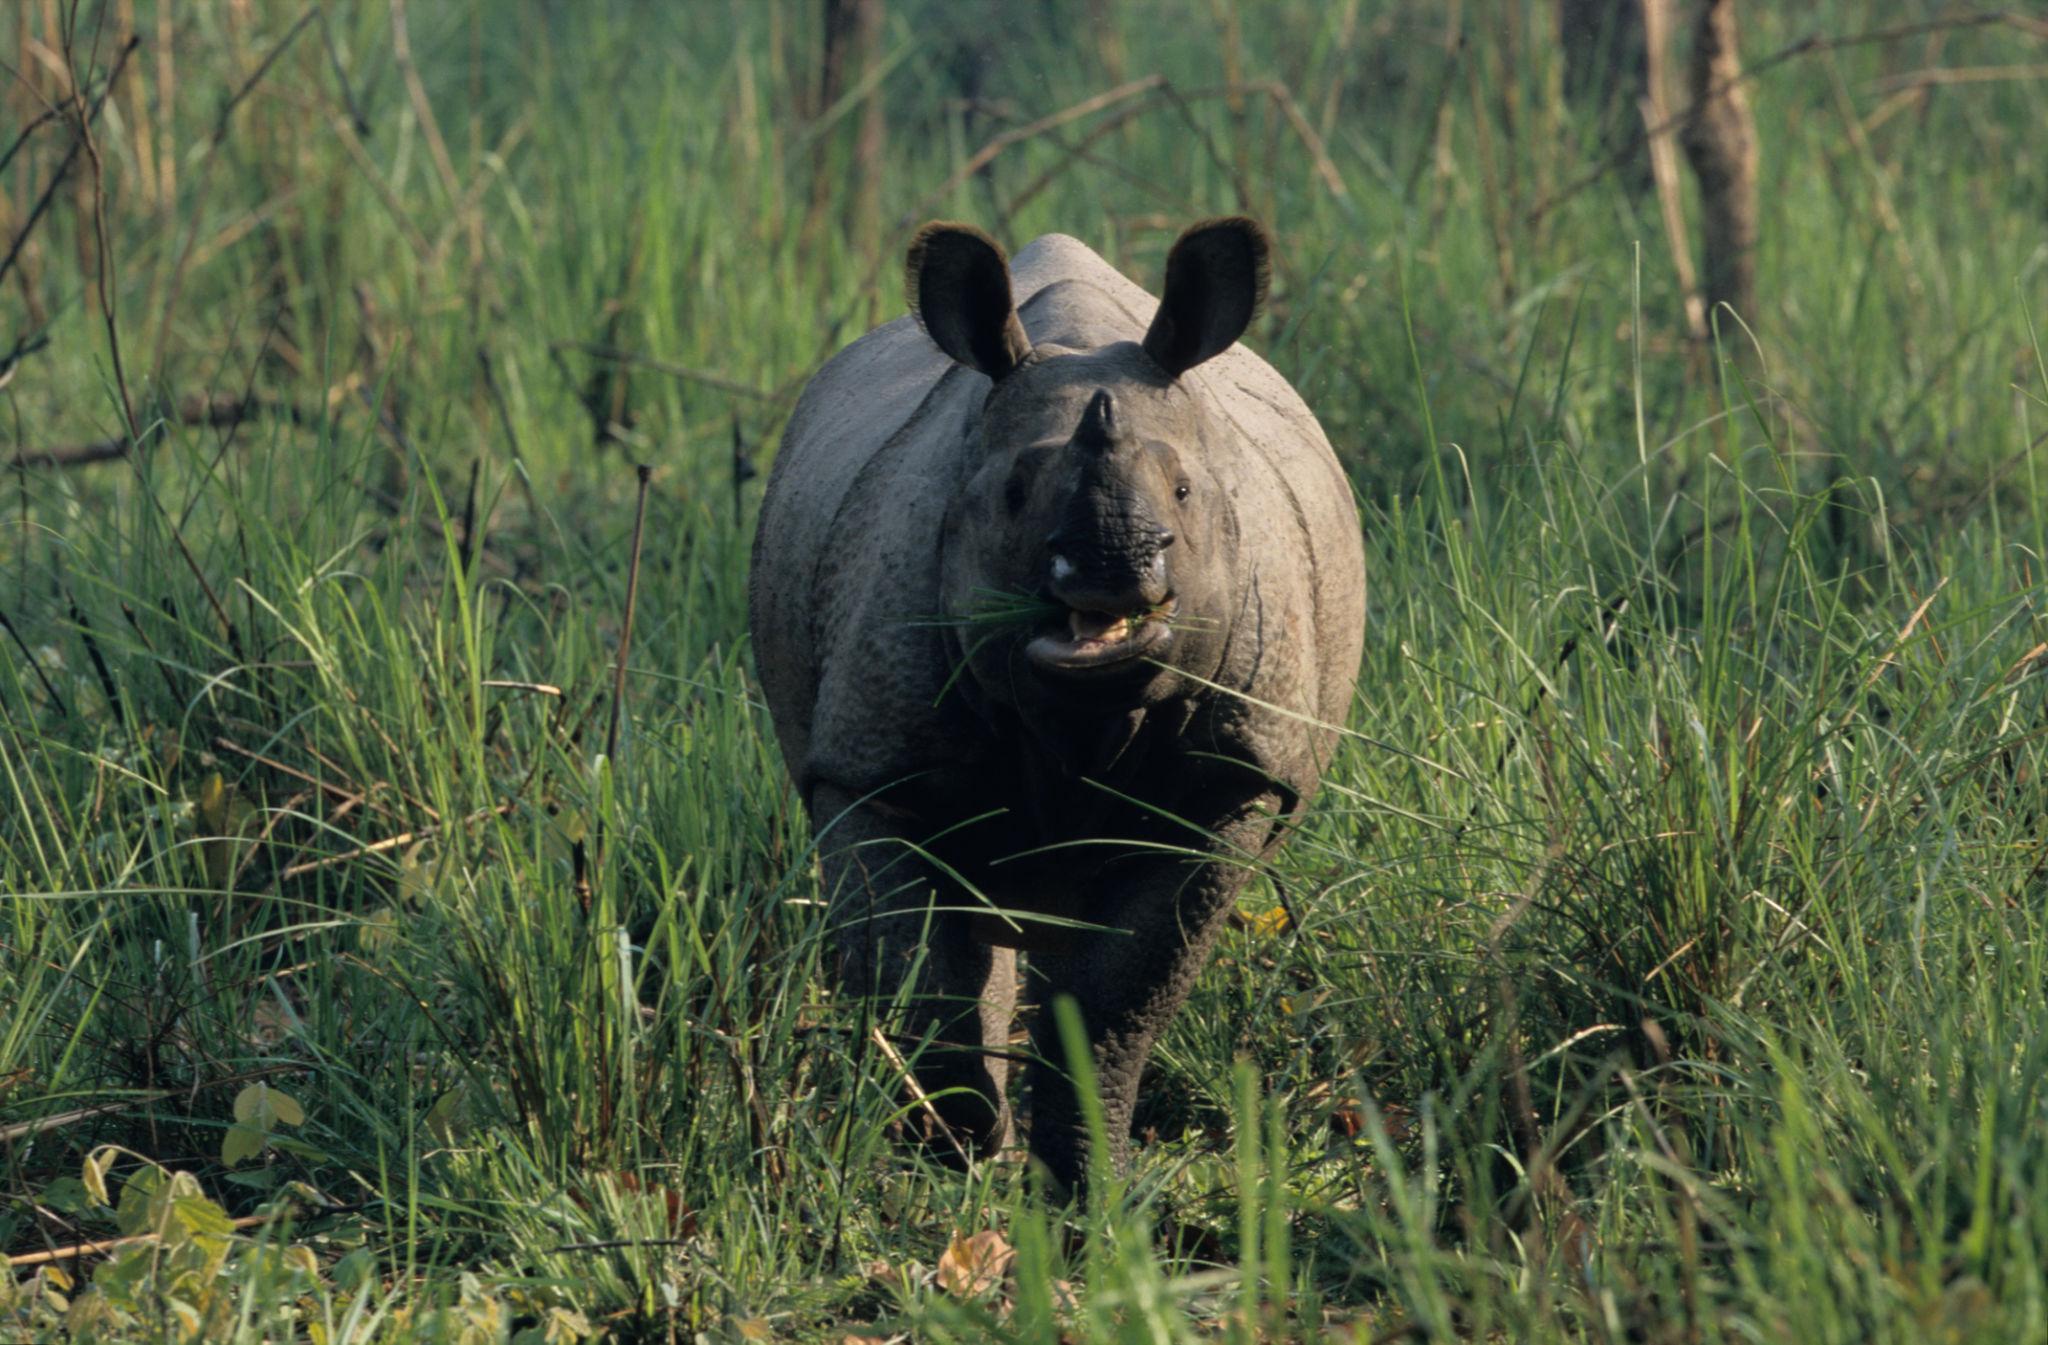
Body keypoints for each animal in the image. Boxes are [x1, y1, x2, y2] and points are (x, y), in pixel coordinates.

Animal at [749, 218, 1365, 1191]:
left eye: (1186, 495)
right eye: (1011, 497)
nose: (1115, 566)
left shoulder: (1235, 777)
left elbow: (1122, 994)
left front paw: (1085, 1180)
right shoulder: (869, 768)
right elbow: (921, 969)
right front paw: (960, 1158)